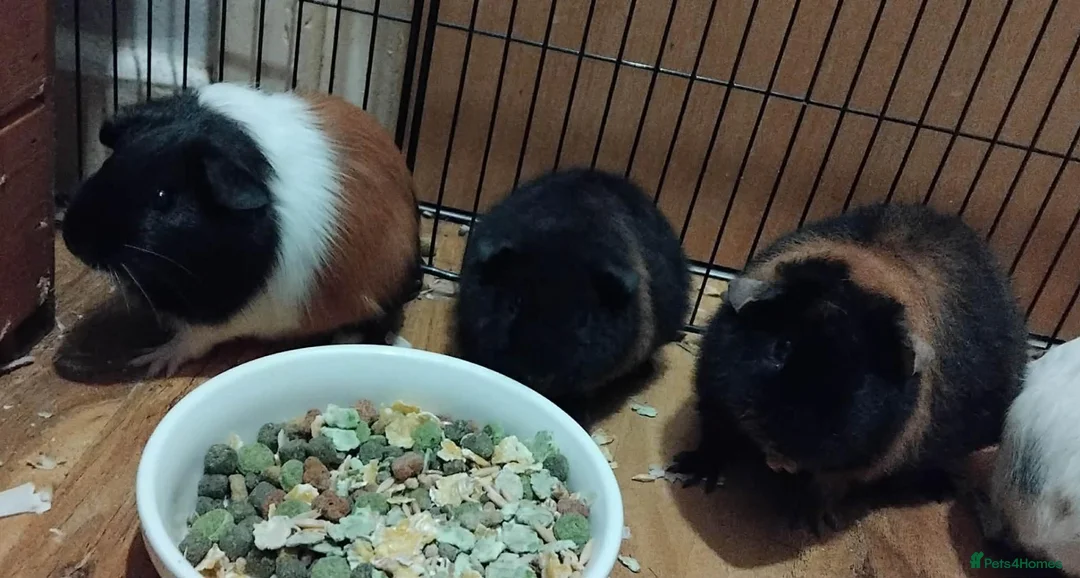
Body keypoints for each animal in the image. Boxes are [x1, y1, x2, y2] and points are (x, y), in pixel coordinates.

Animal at [61, 83, 421, 376]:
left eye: (163, 197)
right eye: (109, 162)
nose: (72, 240)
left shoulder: (229, 314)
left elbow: (193, 339)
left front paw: (151, 361)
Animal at [672, 203, 1029, 534]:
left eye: (860, 381)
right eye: (781, 347)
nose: (783, 452)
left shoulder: (860, 462)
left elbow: (827, 485)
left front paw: (810, 523)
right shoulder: (714, 400)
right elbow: (715, 436)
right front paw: (689, 471)